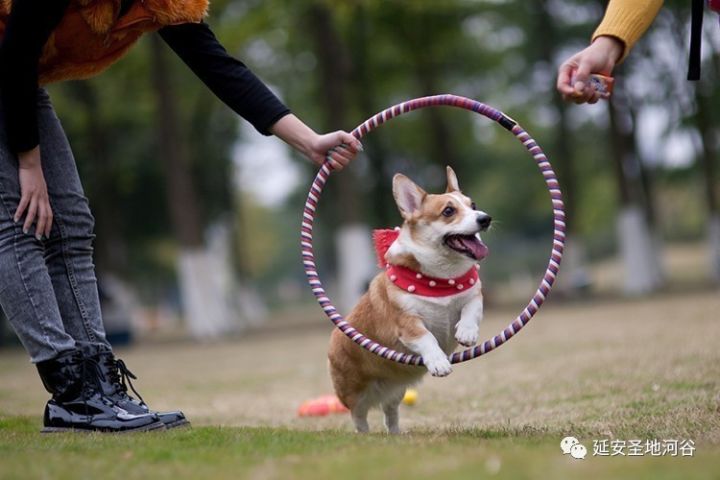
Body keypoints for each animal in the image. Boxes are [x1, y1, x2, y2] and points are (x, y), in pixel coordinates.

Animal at [330, 167, 492, 434]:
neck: (441, 279)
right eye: (448, 211)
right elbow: (426, 338)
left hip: (396, 392)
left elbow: (471, 310)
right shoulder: (407, 322)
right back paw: (365, 436)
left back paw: (396, 435)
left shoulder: (473, 295)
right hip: (354, 393)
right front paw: (439, 364)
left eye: (473, 205)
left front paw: (466, 333)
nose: (485, 218)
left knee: (390, 412)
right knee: (359, 417)